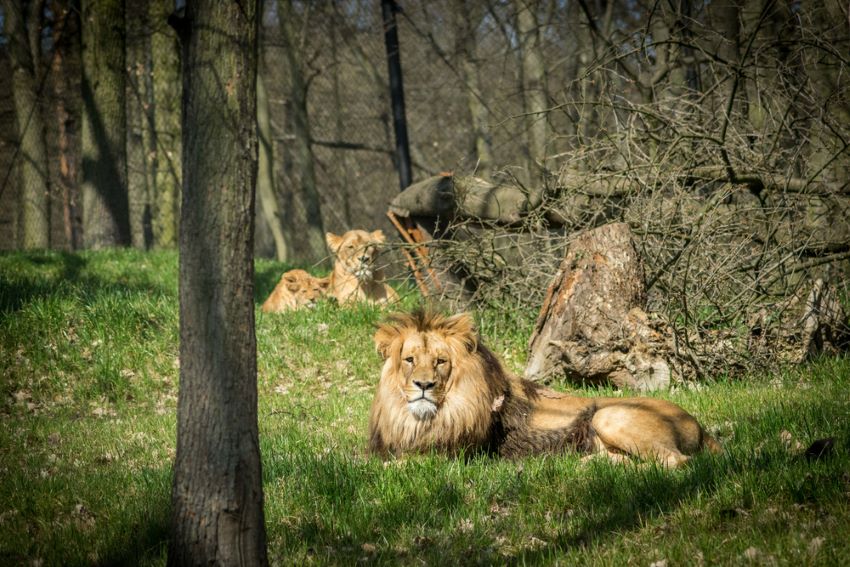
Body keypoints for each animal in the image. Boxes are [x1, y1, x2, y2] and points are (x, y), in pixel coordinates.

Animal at [368, 310, 720, 466]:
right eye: (410, 360)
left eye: (440, 362)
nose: (423, 385)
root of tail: (700, 426)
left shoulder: (451, 457)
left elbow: (390, 465)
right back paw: (588, 464)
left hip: (608, 416)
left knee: (677, 461)